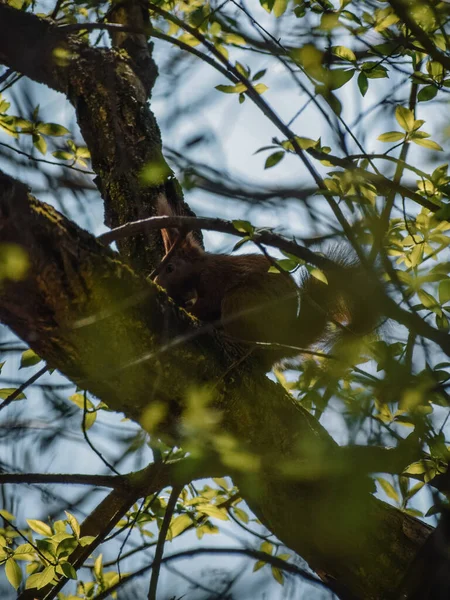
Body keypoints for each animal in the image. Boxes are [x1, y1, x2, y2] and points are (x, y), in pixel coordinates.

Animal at [155, 196, 380, 360]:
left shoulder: (214, 279)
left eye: (170, 268)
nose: (157, 284)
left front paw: (188, 309)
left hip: (242, 301)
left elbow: (208, 303)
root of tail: (283, 339)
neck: (200, 268)